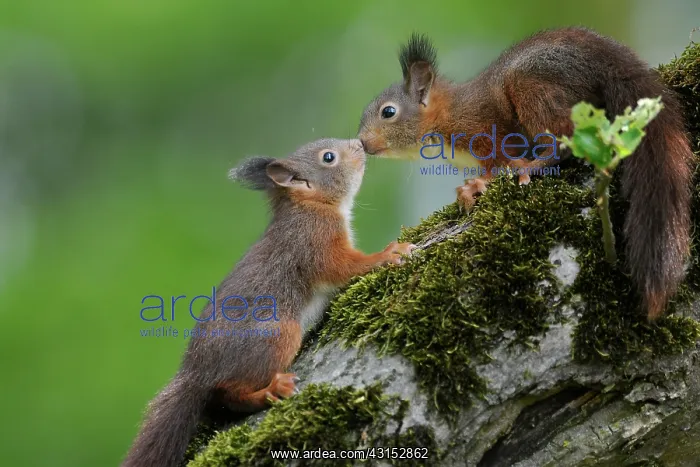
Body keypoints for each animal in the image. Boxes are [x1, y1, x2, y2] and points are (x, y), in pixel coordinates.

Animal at [121, 138, 415, 467]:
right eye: (328, 158)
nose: (359, 143)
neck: (309, 205)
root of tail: (197, 373)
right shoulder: (314, 240)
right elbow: (343, 266)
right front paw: (388, 254)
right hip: (276, 334)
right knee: (231, 393)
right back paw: (272, 390)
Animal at [357, 27, 695, 321]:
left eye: (388, 112)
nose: (361, 143)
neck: (445, 116)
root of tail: (607, 57)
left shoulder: (486, 128)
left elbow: (497, 159)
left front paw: (476, 185)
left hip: (533, 86)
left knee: (563, 139)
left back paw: (531, 166)